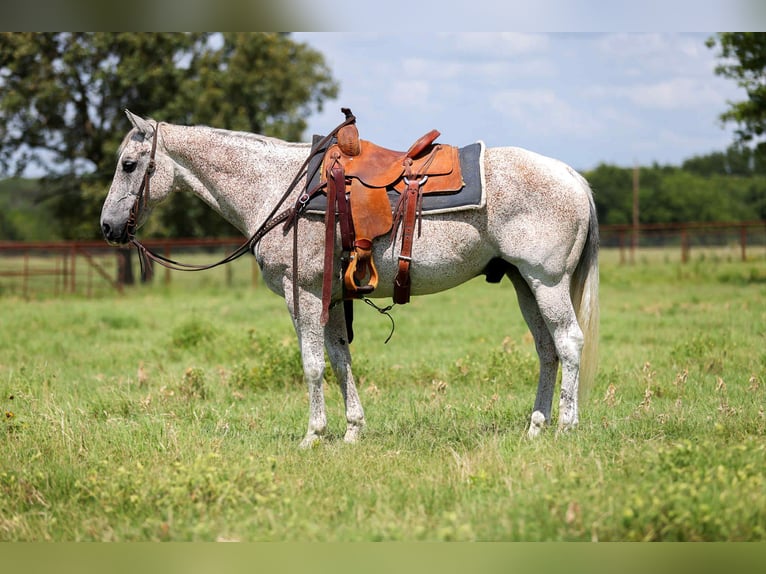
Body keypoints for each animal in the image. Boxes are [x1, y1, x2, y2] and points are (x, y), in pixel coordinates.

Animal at [100, 109, 600, 448]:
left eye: (128, 164)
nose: (108, 227)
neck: (280, 188)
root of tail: (572, 175)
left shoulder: (300, 292)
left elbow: (312, 364)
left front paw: (313, 435)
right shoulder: (335, 297)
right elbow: (341, 360)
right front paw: (353, 430)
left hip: (547, 281)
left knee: (569, 342)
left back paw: (567, 426)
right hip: (523, 284)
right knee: (547, 349)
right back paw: (536, 426)